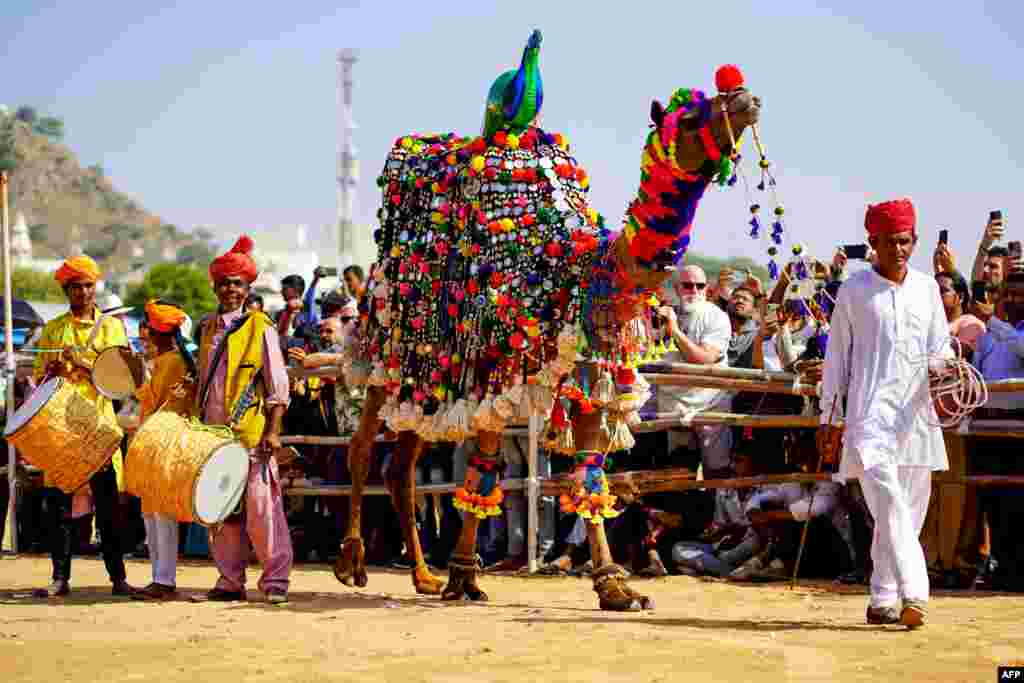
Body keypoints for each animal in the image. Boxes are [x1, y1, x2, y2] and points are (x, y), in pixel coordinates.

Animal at [335, 29, 761, 610]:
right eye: (692, 116)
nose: (746, 97)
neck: (583, 271)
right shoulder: (497, 367)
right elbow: (484, 469)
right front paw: (465, 577)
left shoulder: (591, 373)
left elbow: (590, 473)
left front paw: (615, 586)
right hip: (387, 351)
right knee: (362, 447)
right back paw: (352, 564)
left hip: (426, 382)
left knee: (401, 465)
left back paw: (422, 576)